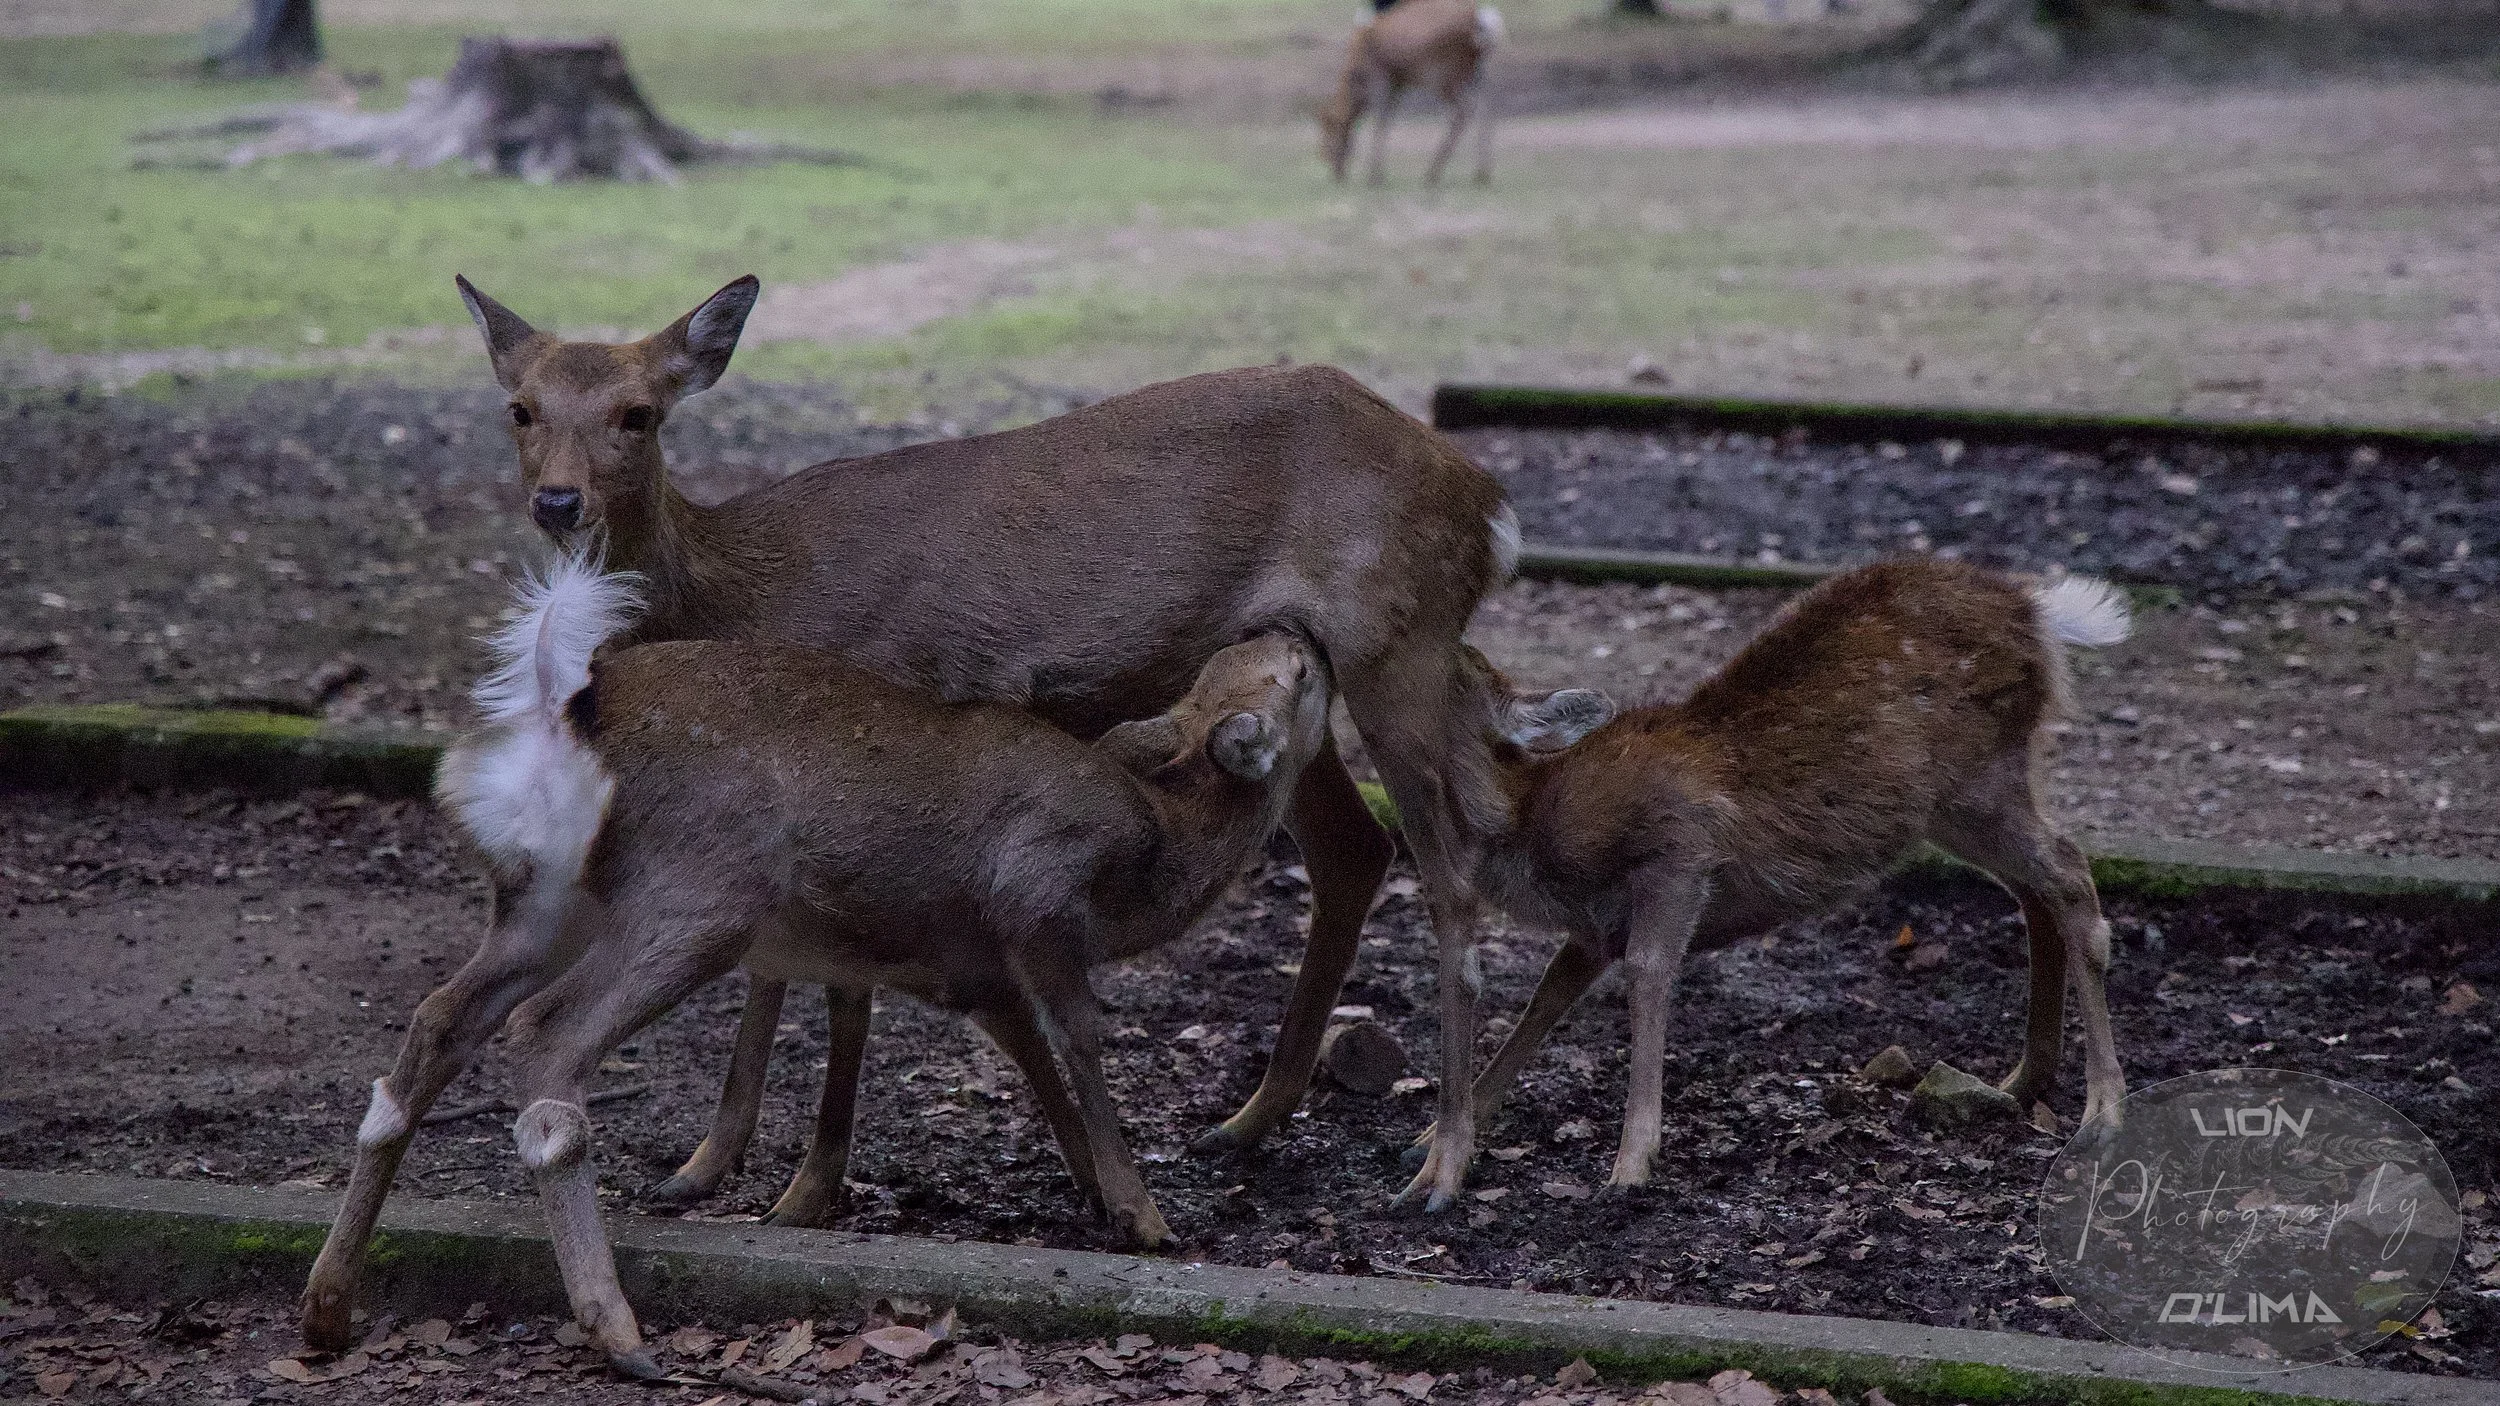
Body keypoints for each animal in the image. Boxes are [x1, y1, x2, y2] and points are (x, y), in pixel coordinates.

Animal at [302, 557, 1336, 1377]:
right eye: (1292, 676)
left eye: (1250, 662)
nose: (1301, 633)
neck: (1147, 863)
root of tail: (565, 712)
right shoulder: (1038, 901)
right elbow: (1078, 1038)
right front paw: (1144, 1215)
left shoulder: (962, 964)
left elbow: (1030, 1052)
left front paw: (1089, 1191)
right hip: (697, 894)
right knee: (548, 1037)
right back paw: (618, 1331)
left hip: (544, 900)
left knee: (438, 1018)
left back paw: (326, 1308)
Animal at [1321, 0, 1501, 187]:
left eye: (1327, 137)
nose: (1336, 172)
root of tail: (1483, 21)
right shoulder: (1398, 83)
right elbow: (1387, 119)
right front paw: (1379, 173)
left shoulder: (1381, 76)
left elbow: (1380, 120)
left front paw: (1375, 176)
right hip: (1474, 72)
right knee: (1485, 108)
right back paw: (1482, 173)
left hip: (1442, 72)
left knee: (1464, 110)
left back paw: (1433, 172)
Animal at [1400, 558, 2131, 1195]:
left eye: (1453, 666)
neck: (1531, 822)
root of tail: (2039, 612)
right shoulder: (1596, 923)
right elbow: (1549, 991)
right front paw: (1435, 1138)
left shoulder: (1680, 846)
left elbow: (1648, 972)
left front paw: (1632, 1165)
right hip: (1958, 803)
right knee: (2037, 888)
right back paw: (2024, 1079)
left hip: (1979, 777)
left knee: (2070, 873)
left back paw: (2103, 1113)